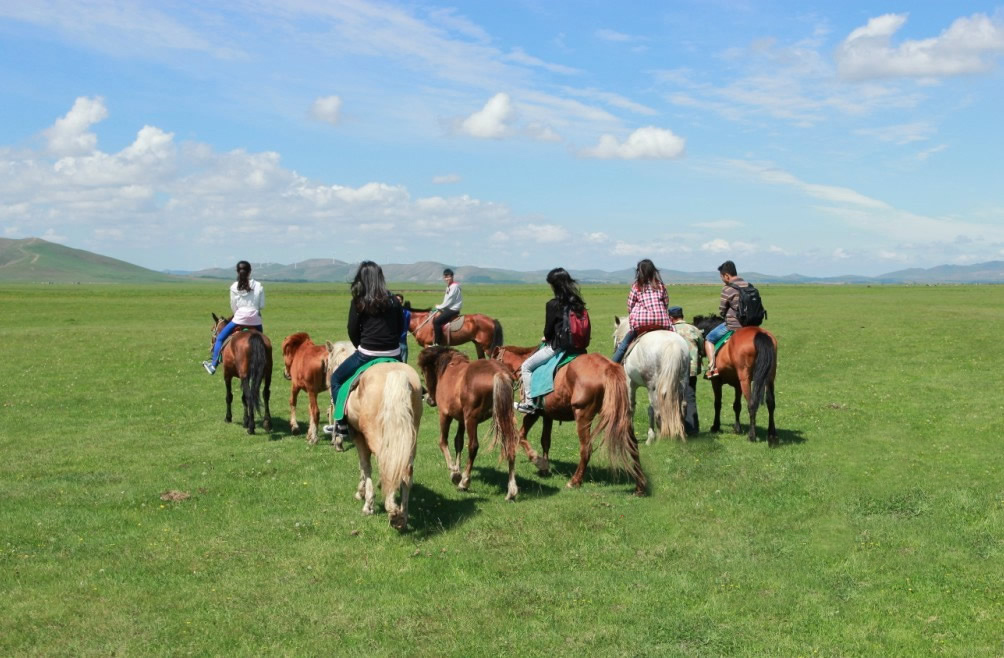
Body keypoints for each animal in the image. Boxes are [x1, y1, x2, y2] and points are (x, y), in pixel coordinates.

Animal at [325, 341, 419, 534]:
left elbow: (364, 466)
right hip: (410, 438)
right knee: (405, 470)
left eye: (328, 366)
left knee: (387, 465)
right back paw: (403, 517)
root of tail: (396, 374)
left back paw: (393, 512)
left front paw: (365, 498)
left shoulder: (359, 436)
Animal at [419, 345, 522, 500]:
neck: (448, 366)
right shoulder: (462, 419)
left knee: (473, 446)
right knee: (509, 443)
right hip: (504, 416)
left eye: (424, 371)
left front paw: (454, 472)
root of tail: (499, 374)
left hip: (471, 419)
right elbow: (458, 442)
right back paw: (511, 489)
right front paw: (457, 469)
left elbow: (443, 441)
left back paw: (465, 482)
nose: (429, 399)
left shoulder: (445, 414)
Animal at [489, 345, 646, 494]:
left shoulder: (533, 413)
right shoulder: (547, 415)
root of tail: (608, 367)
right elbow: (545, 441)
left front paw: (537, 460)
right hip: (623, 415)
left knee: (586, 449)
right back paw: (640, 486)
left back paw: (575, 481)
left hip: (583, 416)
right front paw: (544, 468)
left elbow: (521, 436)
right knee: (632, 444)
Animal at [694, 315, 779, 448]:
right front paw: (737, 428)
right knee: (771, 403)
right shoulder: (737, 385)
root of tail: (759, 333)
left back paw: (752, 436)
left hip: (745, 379)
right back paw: (771, 436)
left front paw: (715, 426)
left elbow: (717, 404)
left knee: (752, 404)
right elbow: (737, 406)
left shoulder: (716, 382)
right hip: (769, 377)